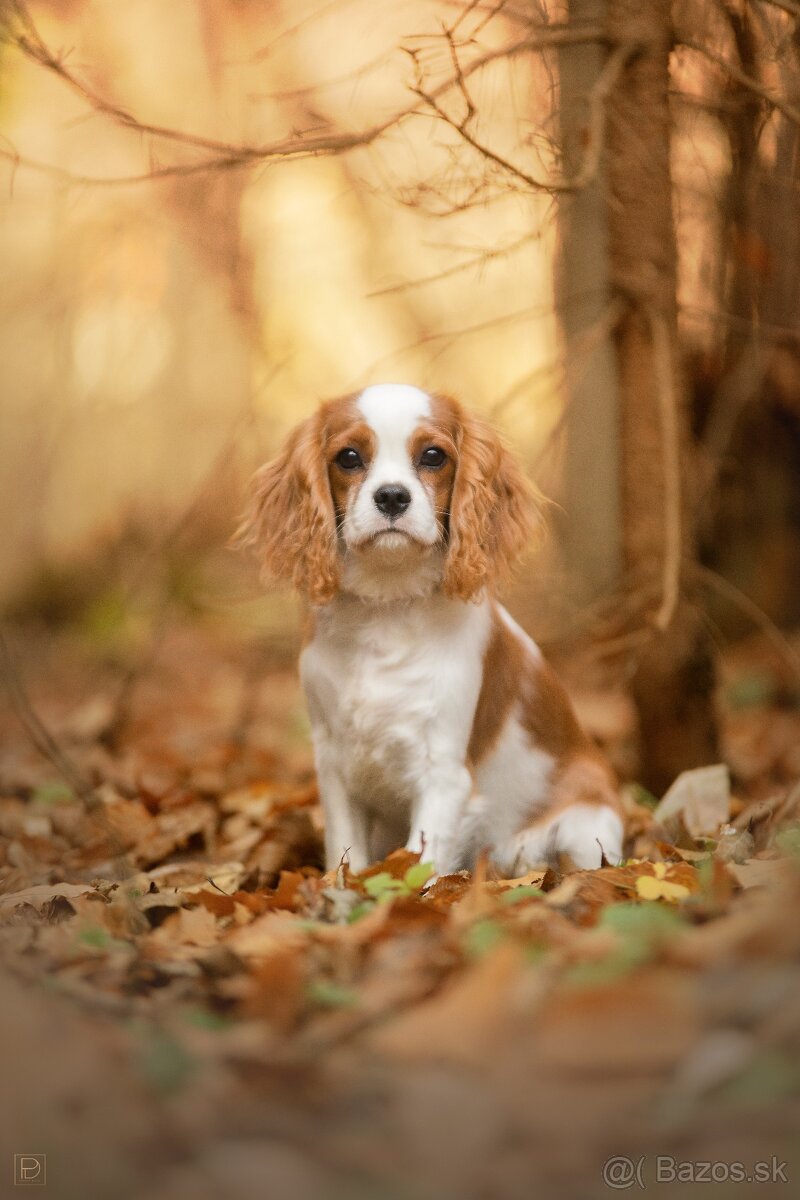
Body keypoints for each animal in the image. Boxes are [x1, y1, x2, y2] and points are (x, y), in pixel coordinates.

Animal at [239, 388, 623, 878]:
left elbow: (422, 864)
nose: (391, 496)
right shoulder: (334, 762)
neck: (388, 604)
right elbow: (346, 850)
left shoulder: (442, 771)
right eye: (348, 457)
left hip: (586, 826)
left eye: (433, 455)